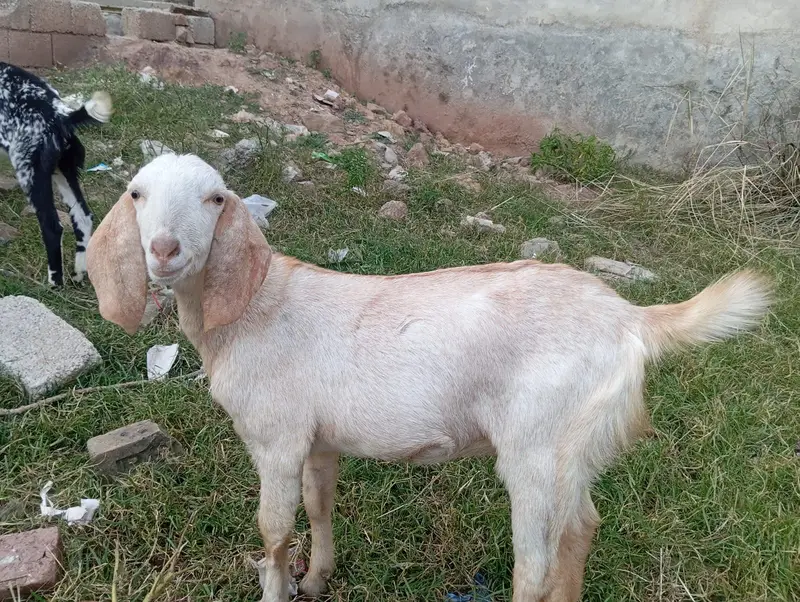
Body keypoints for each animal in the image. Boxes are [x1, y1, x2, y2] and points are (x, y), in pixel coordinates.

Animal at [0, 62, 112, 286]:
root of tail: (59, 114)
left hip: (31, 175)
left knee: (52, 228)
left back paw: (54, 283)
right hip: (63, 173)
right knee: (83, 217)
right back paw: (79, 273)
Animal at [86, 154, 772, 602]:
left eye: (216, 198)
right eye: (136, 193)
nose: (164, 250)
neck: (255, 306)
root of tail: (632, 318)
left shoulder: (276, 437)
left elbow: (274, 528)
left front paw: (278, 589)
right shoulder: (318, 439)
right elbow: (319, 505)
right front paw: (317, 578)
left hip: (535, 446)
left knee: (535, 565)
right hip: (572, 447)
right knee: (581, 530)